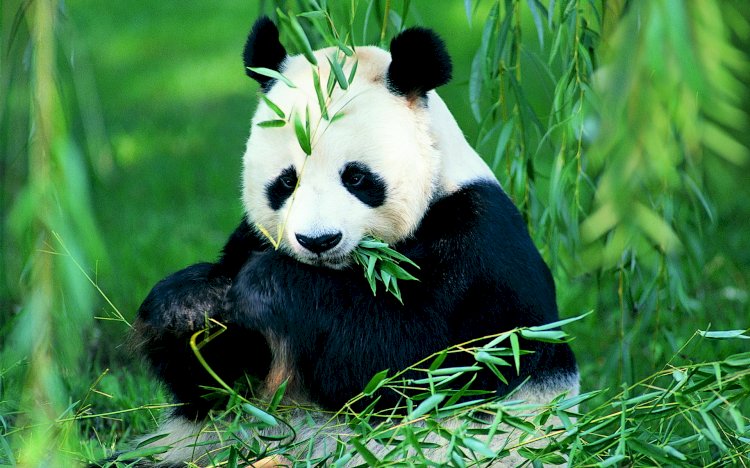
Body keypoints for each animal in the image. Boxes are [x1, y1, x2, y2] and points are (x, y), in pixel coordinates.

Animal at [127, 16, 578, 467]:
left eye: (356, 177)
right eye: (287, 181)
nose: (318, 241)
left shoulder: (479, 246)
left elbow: (413, 363)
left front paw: (269, 286)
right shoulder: (250, 238)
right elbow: (218, 385)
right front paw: (190, 306)